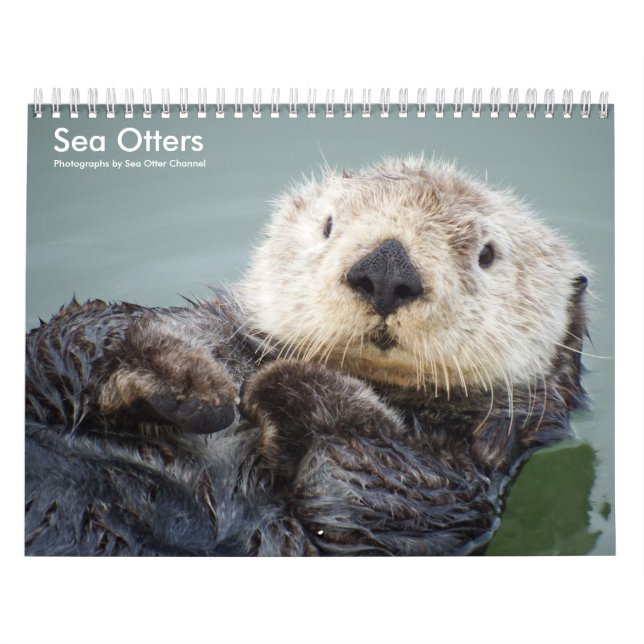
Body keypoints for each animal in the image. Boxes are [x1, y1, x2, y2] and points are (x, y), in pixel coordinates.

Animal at [25, 157, 589, 556]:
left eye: (487, 254)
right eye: (328, 225)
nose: (387, 268)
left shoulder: (457, 482)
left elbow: (372, 489)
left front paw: (283, 383)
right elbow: (65, 338)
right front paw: (188, 380)